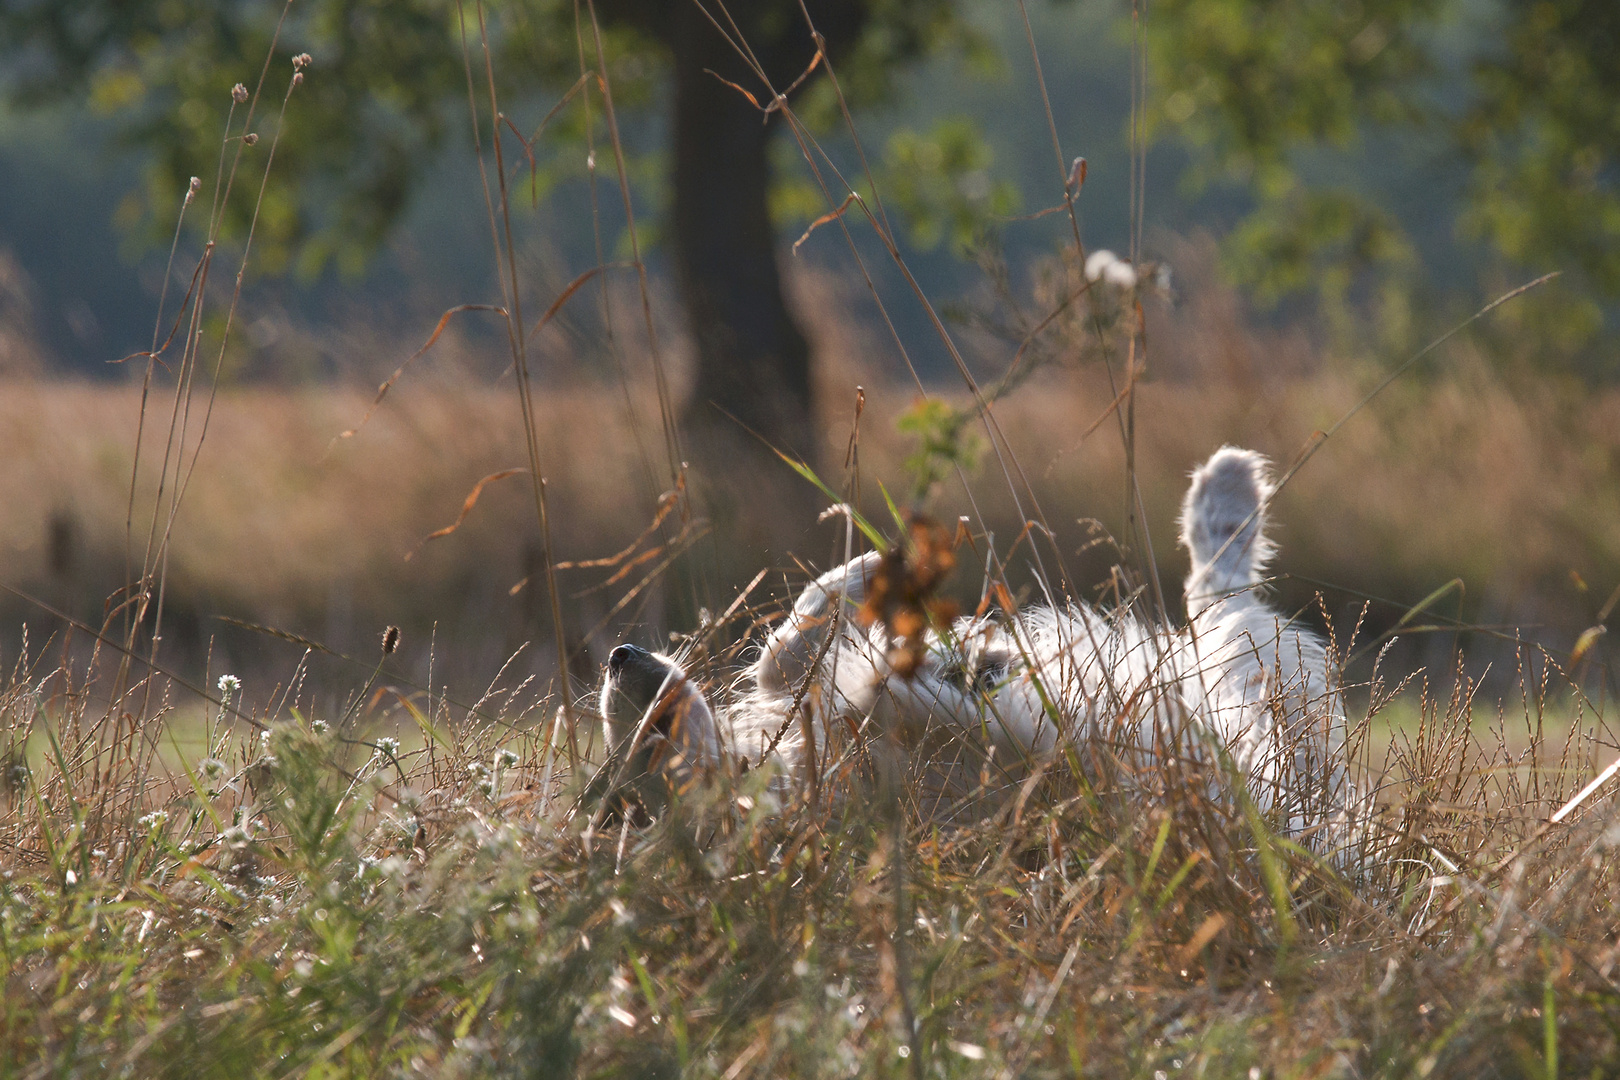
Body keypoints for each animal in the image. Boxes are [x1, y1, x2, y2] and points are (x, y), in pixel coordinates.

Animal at [602, 446, 1347, 841]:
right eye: (642, 743)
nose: (617, 657)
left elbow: (785, 658)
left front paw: (878, 575)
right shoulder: (1006, 762)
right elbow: (867, 688)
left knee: (1215, 597)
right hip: (1256, 694)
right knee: (1224, 602)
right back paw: (1226, 503)